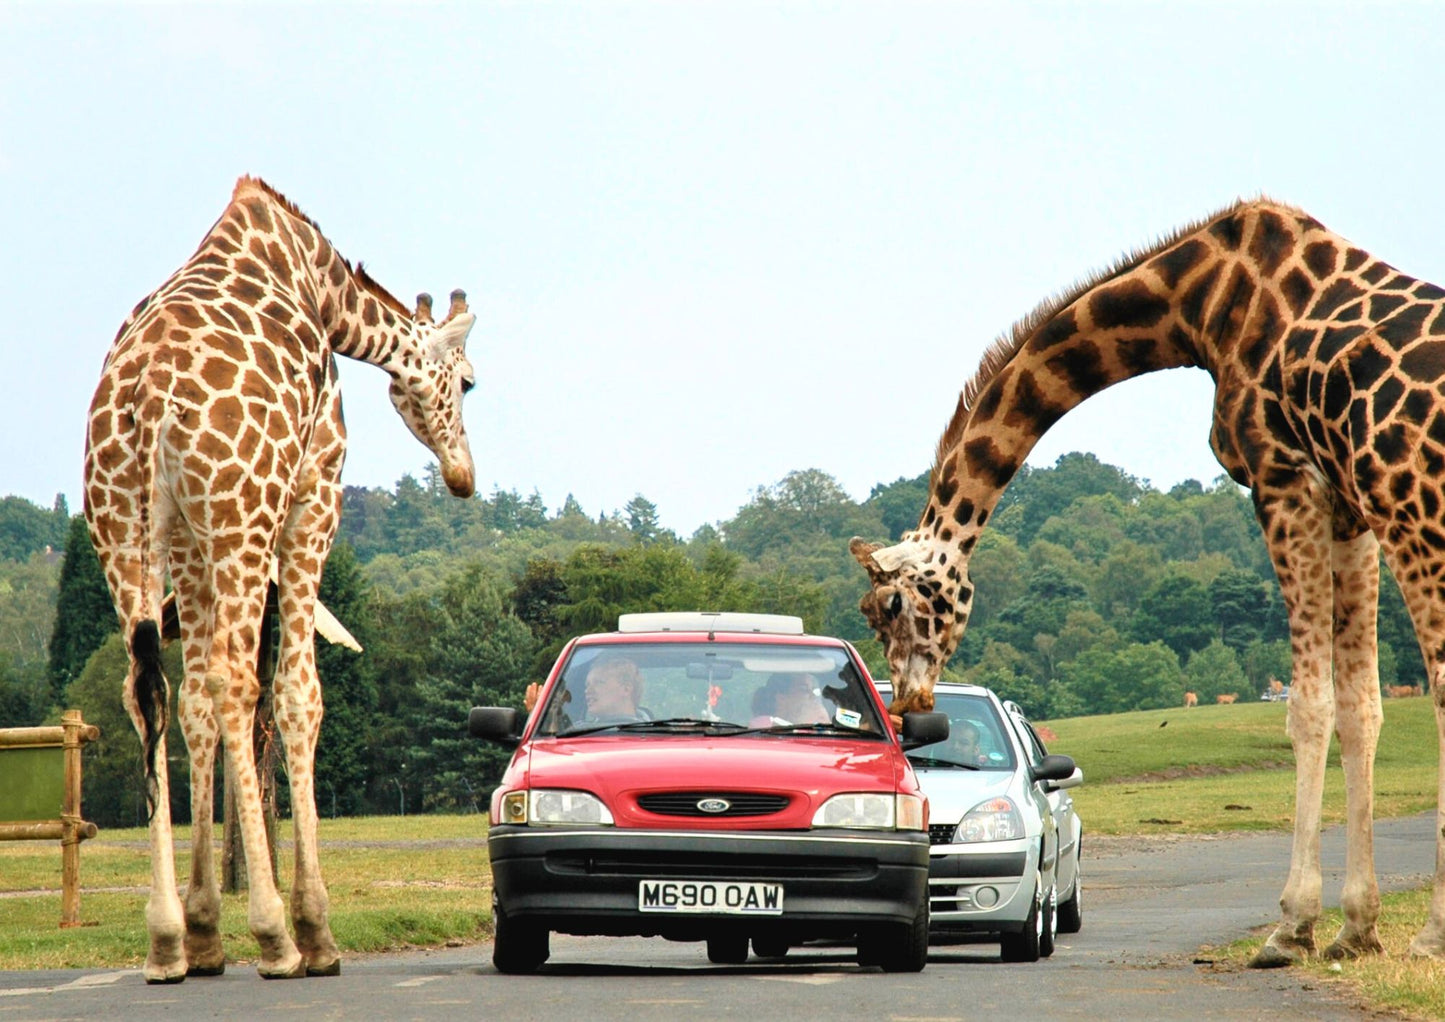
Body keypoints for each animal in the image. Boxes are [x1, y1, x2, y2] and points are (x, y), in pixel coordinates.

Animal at [83, 177, 479, 982]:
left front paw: (205, 929)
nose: (464, 476)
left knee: (149, 689)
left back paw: (166, 941)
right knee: (239, 681)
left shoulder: (189, 538)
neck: (323, 289)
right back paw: (275, 937)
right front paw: (315, 928)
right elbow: (299, 695)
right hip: (243, 515)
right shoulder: (313, 492)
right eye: (469, 383)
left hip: (124, 526)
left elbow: (193, 703)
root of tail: (147, 400)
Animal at [849, 198, 1445, 965]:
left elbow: (1307, 707)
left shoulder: (1285, 480)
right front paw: (1355, 928)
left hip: (1414, 506)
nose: (910, 705)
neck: (1196, 304)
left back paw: (1429, 934)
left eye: (890, 605)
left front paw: (1291, 926)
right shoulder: (1346, 508)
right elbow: (1359, 707)